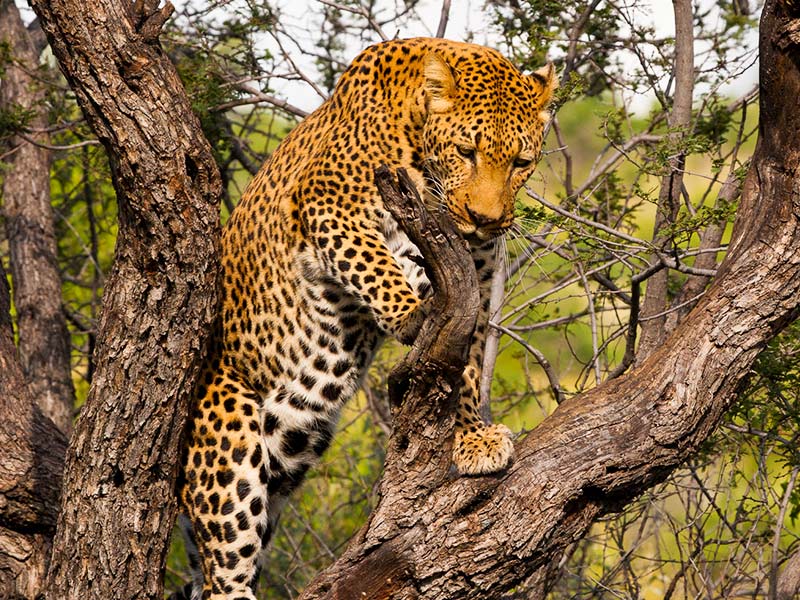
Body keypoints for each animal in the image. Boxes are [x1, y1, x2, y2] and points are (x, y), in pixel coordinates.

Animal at [172, 38, 552, 600]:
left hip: (292, 449)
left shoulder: (477, 284)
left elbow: (461, 365)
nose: (485, 219)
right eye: (467, 151)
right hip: (229, 447)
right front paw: (411, 313)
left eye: (521, 162)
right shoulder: (328, 204)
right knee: (227, 569)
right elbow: (371, 260)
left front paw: (471, 438)